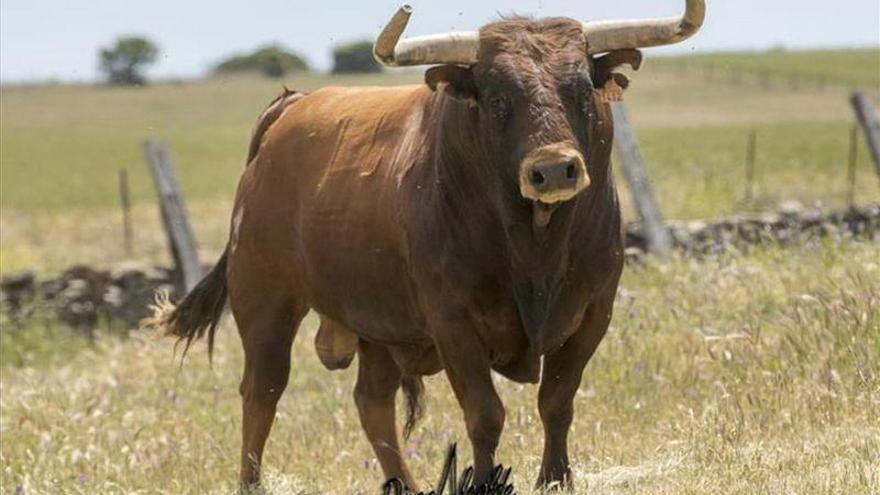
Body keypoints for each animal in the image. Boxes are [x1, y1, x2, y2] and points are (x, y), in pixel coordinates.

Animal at [150, 1, 700, 490]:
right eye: (497, 98)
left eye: (583, 89)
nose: (553, 170)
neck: (535, 245)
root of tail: (293, 106)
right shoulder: (453, 322)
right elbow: (485, 413)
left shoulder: (593, 312)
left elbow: (557, 401)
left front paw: (555, 479)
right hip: (265, 301)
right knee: (261, 391)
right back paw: (251, 482)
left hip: (378, 322)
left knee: (372, 403)